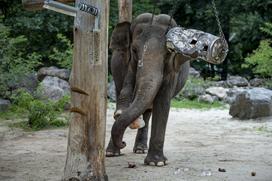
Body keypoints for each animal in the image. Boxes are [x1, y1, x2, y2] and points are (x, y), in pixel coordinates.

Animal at [106, 13, 193, 167]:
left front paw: (156, 163)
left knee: (148, 110)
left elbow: (162, 102)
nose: (123, 142)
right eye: (134, 50)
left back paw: (141, 149)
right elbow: (123, 90)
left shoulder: (173, 71)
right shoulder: (119, 64)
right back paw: (112, 153)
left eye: (169, 53)